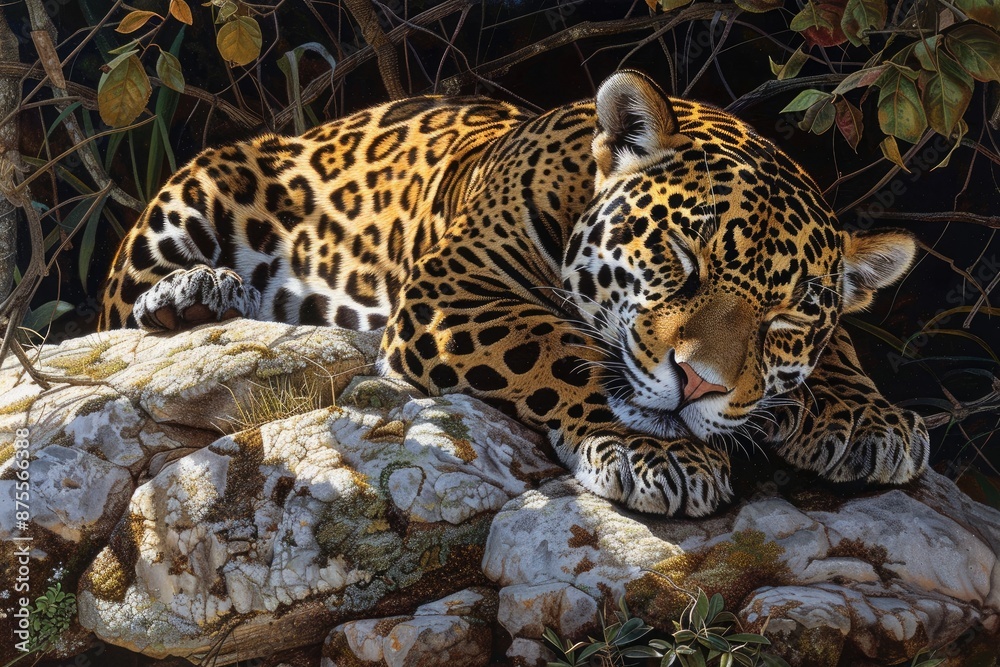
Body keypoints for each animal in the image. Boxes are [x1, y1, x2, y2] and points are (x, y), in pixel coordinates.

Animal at [99, 70, 929, 516]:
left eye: (785, 319)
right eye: (681, 257)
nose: (698, 383)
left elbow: (840, 351)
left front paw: (867, 419)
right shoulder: (454, 293)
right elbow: (561, 347)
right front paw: (659, 454)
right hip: (204, 179)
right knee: (118, 301)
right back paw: (194, 291)